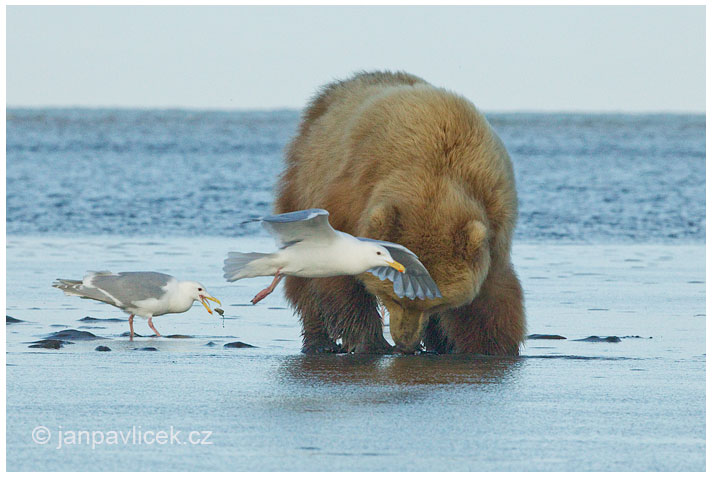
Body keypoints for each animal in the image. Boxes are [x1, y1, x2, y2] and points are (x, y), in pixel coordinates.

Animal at [276, 72, 524, 354]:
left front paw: (489, 347)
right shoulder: (350, 197)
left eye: (437, 303)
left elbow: (491, 298)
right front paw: (371, 340)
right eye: (393, 297)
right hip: (304, 181)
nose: (406, 343)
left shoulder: (492, 216)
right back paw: (319, 342)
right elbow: (340, 276)